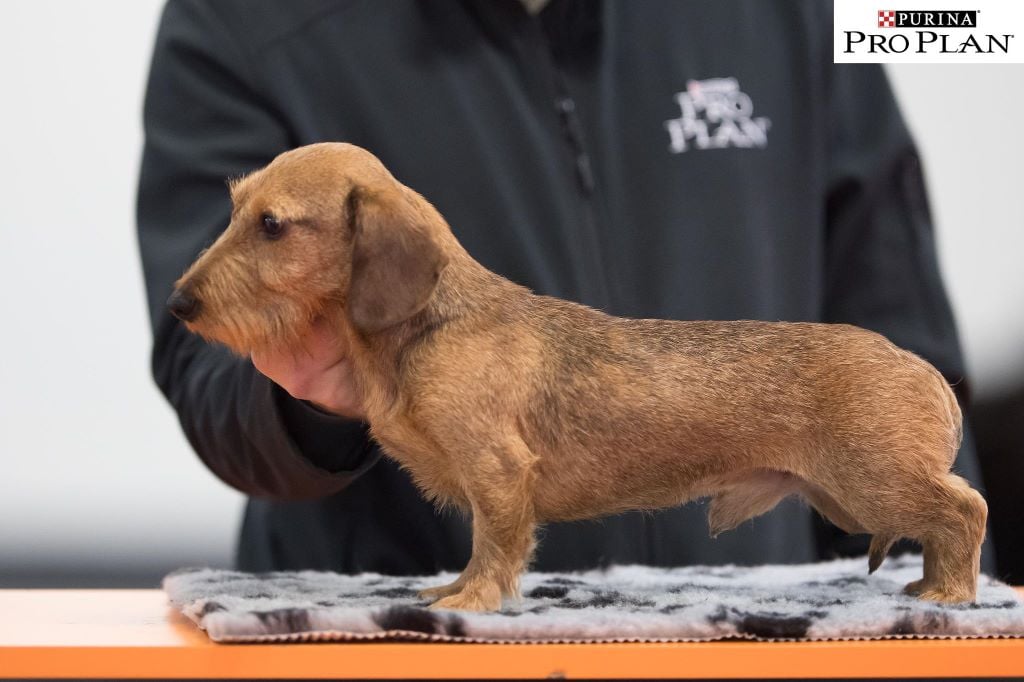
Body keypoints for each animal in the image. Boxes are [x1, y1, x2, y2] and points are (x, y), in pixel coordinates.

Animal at [167, 140, 983, 606]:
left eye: (272, 225)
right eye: (236, 209)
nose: (178, 303)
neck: (434, 322)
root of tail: (922, 371)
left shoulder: (498, 473)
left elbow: (495, 544)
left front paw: (473, 604)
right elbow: (479, 547)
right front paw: (453, 591)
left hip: (876, 482)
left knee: (965, 510)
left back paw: (949, 593)